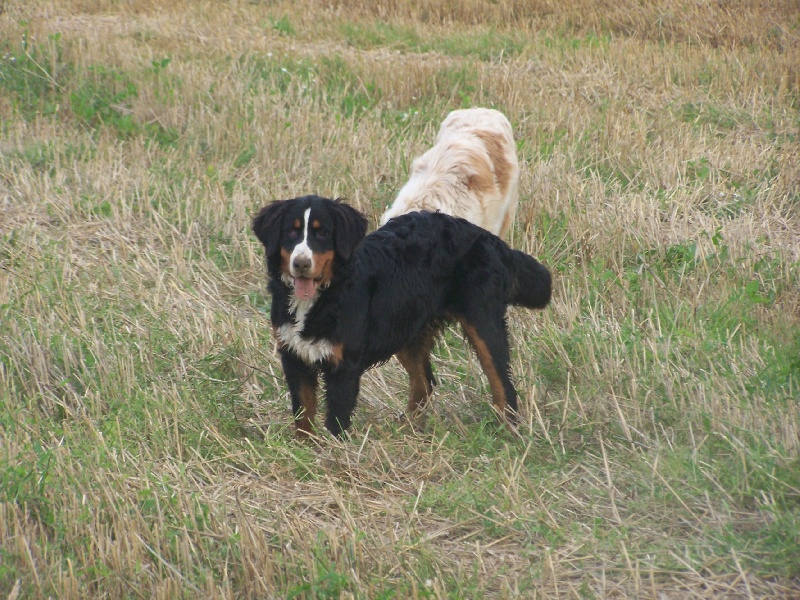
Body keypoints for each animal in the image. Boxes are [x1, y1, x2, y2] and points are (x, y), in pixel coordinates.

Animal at [252, 195, 551, 437]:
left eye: (322, 233)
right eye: (291, 233)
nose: (301, 264)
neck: (321, 296)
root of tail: (488, 237)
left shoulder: (344, 365)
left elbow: (336, 420)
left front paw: (335, 456)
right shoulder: (294, 357)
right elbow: (303, 414)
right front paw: (305, 448)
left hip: (483, 324)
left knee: (503, 384)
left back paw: (509, 432)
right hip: (409, 329)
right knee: (424, 384)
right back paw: (408, 428)